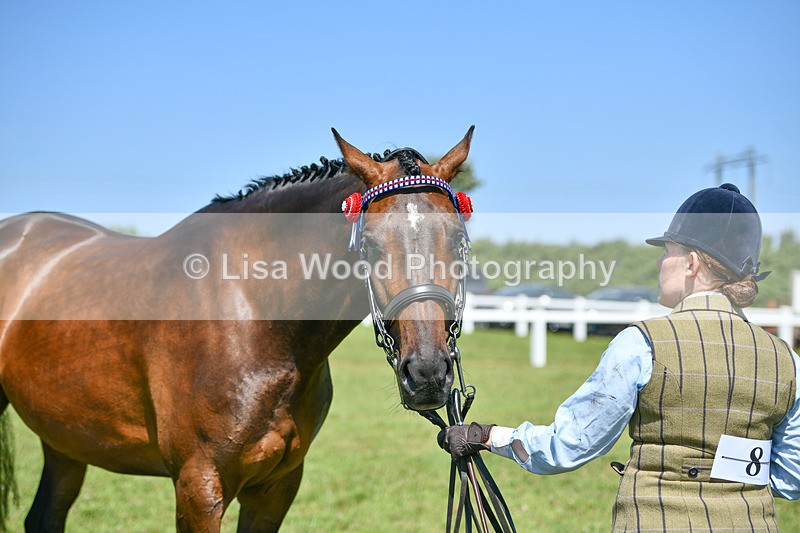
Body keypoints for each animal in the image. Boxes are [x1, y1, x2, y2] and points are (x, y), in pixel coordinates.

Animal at [0, 127, 475, 531]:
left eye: (458, 241)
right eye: (371, 244)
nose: (427, 373)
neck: (256, 314)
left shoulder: (275, 488)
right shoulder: (199, 485)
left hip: (65, 437)